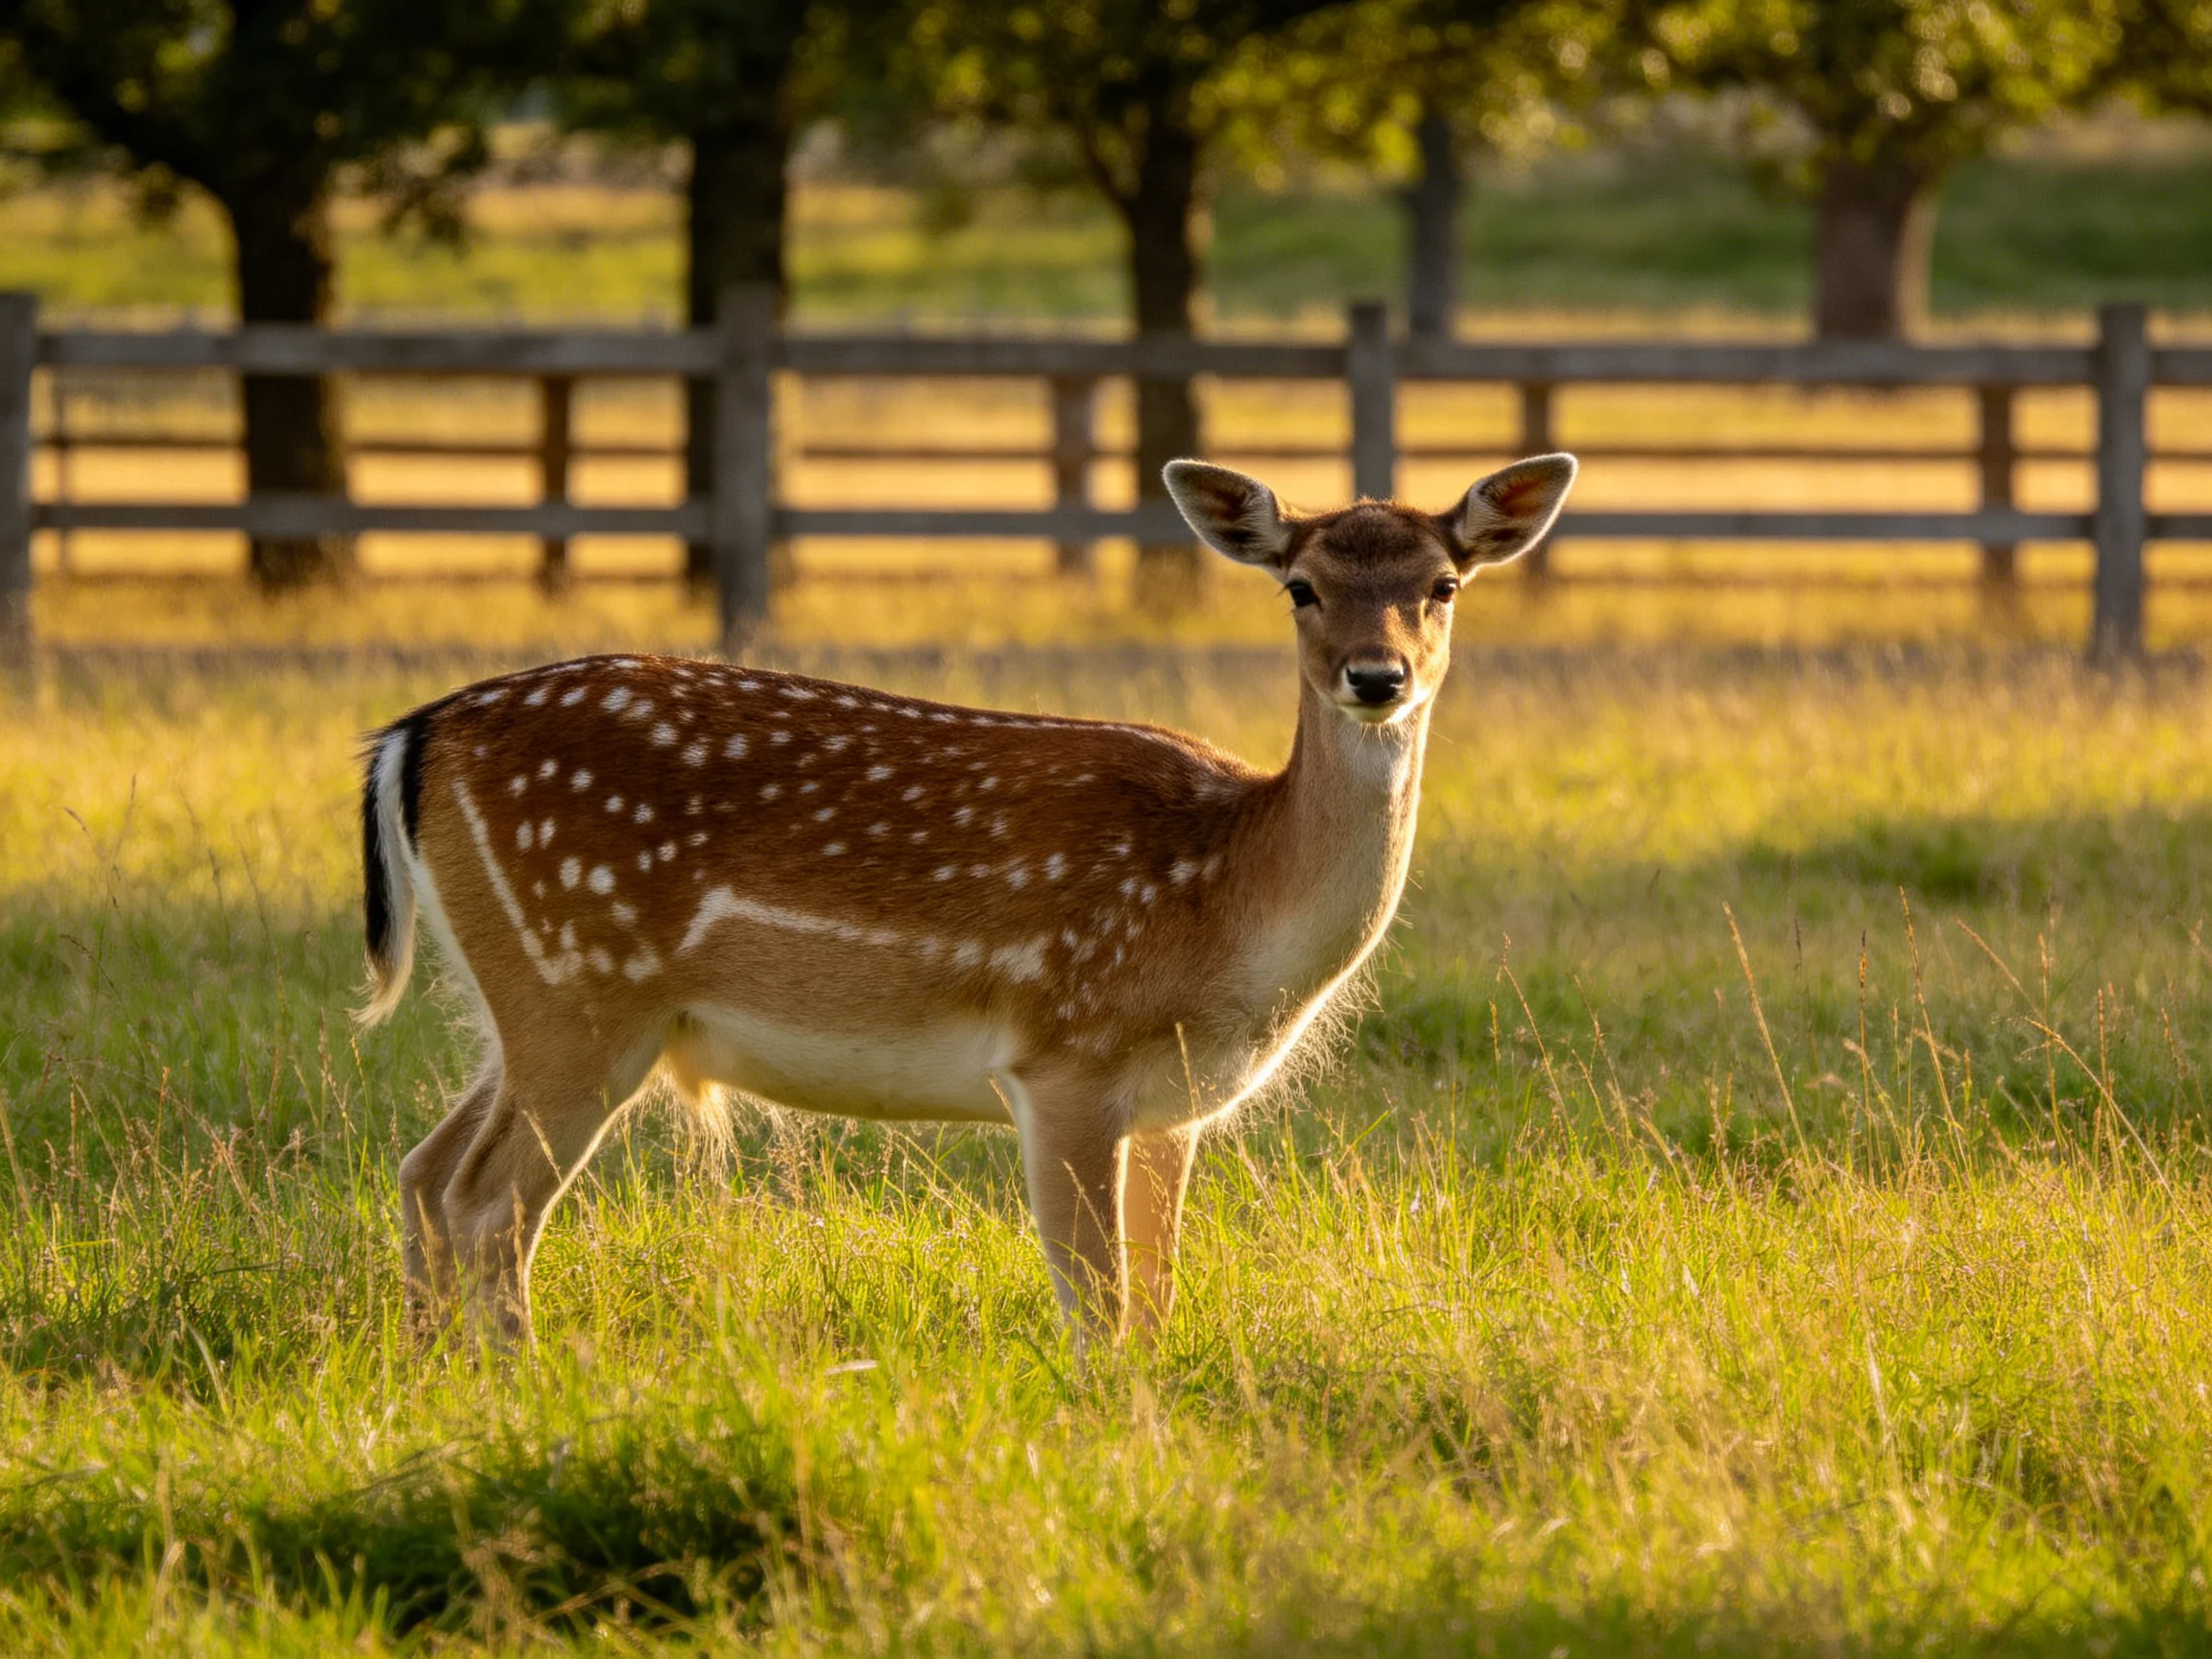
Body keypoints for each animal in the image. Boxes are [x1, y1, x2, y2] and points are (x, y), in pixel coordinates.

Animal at [356, 453, 1576, 1348]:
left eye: (1443, 586)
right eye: (1300, 585)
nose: (1377, 677)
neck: (1230, 906)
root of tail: (416, 734)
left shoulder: (1173, 1108)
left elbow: (1157, 1305)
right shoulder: (1066, 1055)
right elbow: (1100, 1312)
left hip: (532, 999)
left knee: (424, 1173)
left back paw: (430, 1377)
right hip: (582, 987)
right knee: (486, 1205)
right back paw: (518, 1387)